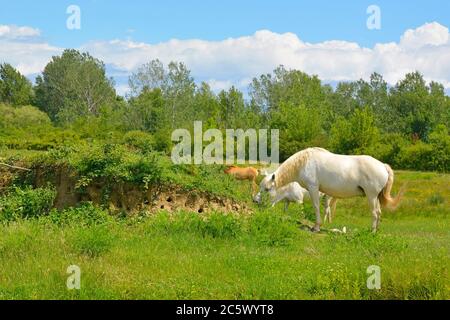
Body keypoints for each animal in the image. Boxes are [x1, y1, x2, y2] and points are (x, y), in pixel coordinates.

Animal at [258, 148, 402, 232]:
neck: (304, 163)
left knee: (375, 213)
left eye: (267, 189)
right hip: (376, 197)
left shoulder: (313, 188)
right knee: (379, 212)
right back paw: (376, 230)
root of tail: (383, 165)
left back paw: (372, 232)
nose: (256, 201)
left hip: (371, 196)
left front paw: (316, 227)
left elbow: (316, 207)